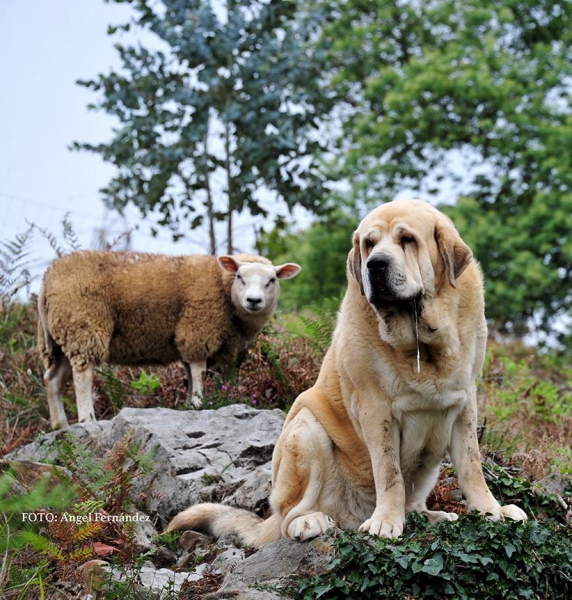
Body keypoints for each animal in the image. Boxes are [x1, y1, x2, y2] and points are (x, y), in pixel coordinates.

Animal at [37, 251, 302, 428]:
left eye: (272, 280)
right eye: (240, 277)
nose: (254, 301)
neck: (223, 288)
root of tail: (46, 279)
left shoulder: (186, 338)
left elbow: (189, 375)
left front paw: (189, 404)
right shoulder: (197, 331)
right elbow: (198, 372)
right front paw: (198, 403)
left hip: (59, 339)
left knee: (53, 379)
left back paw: (60, 425)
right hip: (83, 326)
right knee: (82, 375)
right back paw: (87, 418)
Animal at [166, 200, 528, 544]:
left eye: (407, 239)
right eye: (369, 244)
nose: (375, 264)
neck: (420, 342)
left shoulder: (465, 403)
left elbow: (471, 467)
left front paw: (492, 511)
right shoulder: (376, 410)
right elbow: (389, 473)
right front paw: (386, 522)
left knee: (414, 499)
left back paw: (430, 515)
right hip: (305, 430)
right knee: (288, 515)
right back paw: (312, 521)